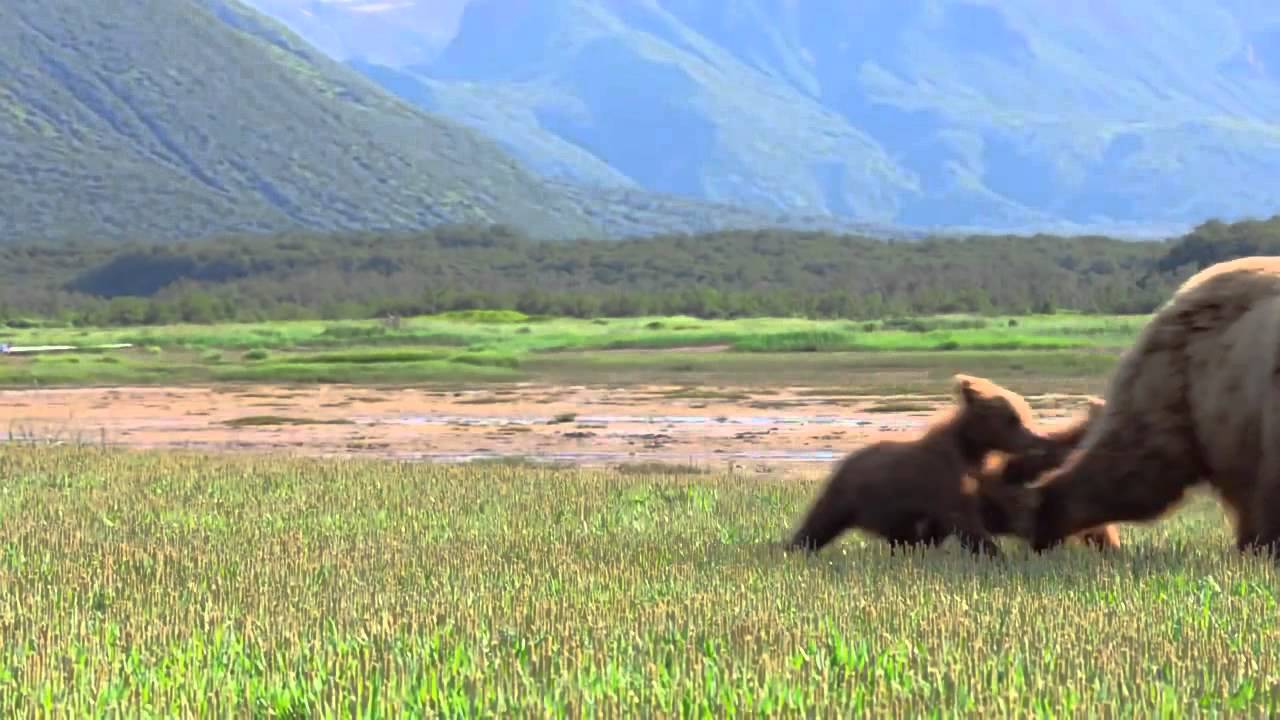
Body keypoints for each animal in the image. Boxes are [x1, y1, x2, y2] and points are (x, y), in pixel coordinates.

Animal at [784, 373, 1049, 557]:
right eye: (1013, 419)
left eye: (1024, 413)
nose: (1037, 438)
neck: (971, 450)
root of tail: (846, 461)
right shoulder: (943, 478)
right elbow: (965, 521)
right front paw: (995, 553)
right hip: (851, 495)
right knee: (821, 522)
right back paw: (794, 548)